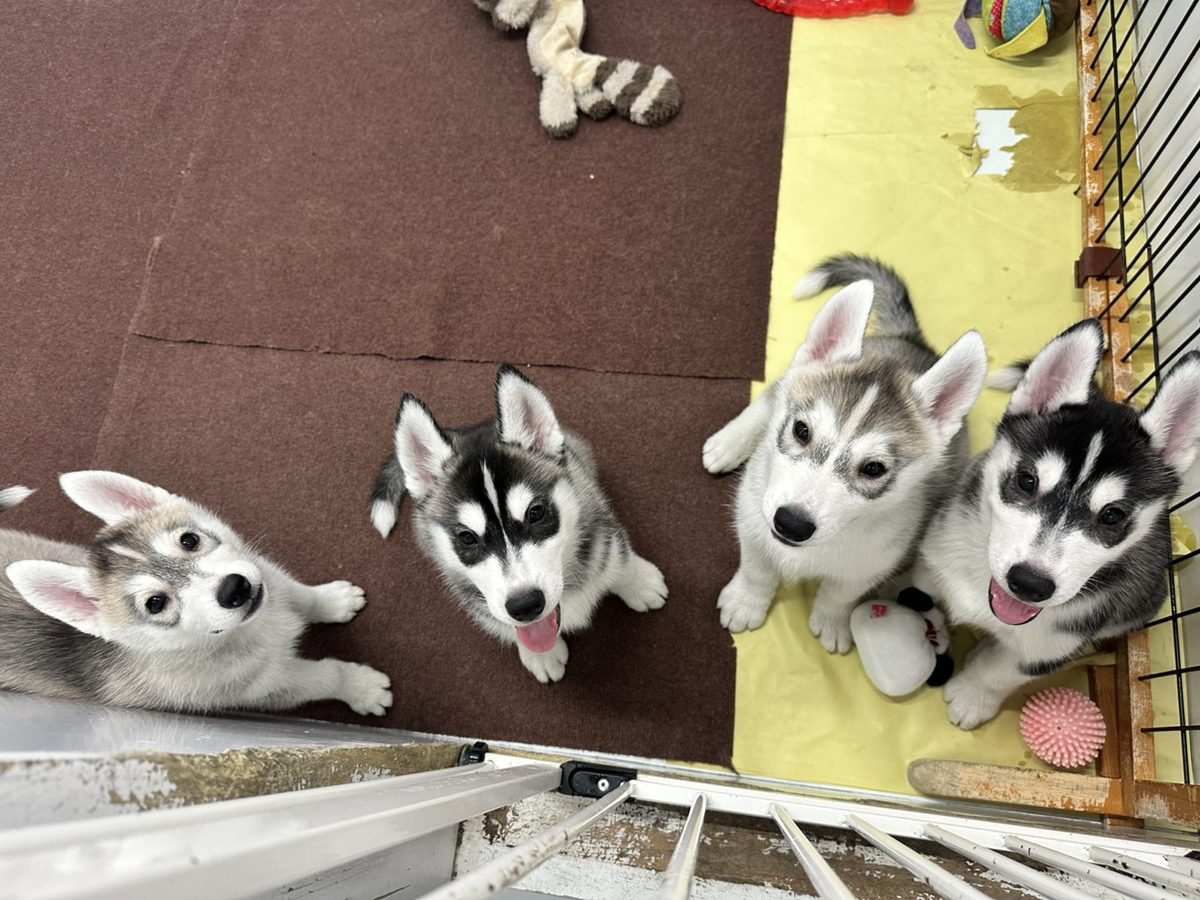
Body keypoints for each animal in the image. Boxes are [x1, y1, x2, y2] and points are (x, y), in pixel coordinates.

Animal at [1, 472, 393, 720]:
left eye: (189, 540)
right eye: (155, 604)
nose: (234, 589)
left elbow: (298, 594)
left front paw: (333, 600)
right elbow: (323, 676)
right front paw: (361, 688)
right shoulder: (269, 685)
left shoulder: (266, 577)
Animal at [367, 364, 667, 681]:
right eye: (467, 537)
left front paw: (639, 582)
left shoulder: (600, 522)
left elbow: (618, 557)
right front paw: (542, 655)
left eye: (535, 513)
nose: (525, 605)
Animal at [700, 256, 984, 652]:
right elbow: (757, 568)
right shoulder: (752, 518)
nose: (791, 523)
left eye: (874, 468)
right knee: (772, 394)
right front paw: (746, 602)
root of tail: (910, 339)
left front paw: (832, 622)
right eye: (801, 430)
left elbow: (840, 594)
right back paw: (729, 442)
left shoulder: (871, 561)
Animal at [912, 324, 1195, 734]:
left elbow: (1002, 672)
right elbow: (919, 594)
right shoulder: (934, 557)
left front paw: (972, 696)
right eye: (1027, 481)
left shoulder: (1051, 645)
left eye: (1112, 515)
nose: (1029, 583)